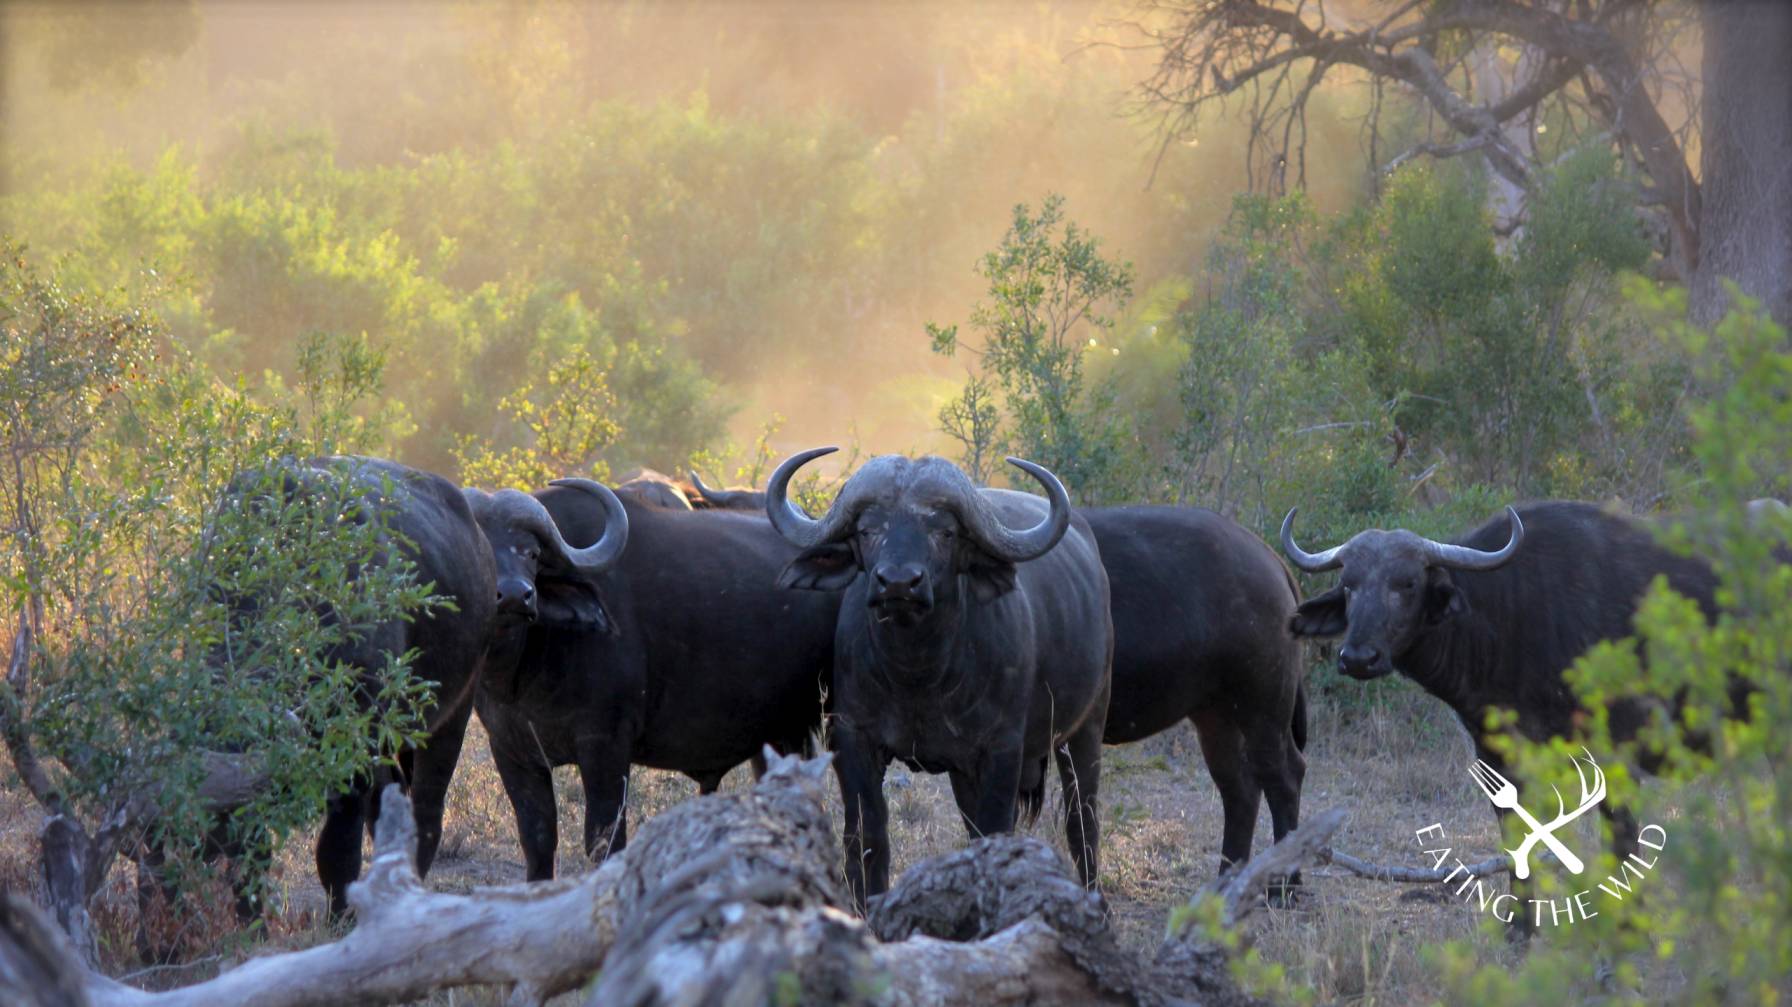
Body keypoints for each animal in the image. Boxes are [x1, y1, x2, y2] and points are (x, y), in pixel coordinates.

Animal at [470, 485, 839, 881]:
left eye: (532, 553)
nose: (515, 595)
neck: (522, 673)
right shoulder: (511, 752)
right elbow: (537, 842)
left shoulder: (605, 746)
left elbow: (603, 840)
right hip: (778, 737)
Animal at [766, 448, 1113, 905]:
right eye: (867, 529)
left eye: (944, 532)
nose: (898, 583)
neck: (919, 675)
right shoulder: (854, 738)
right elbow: (866, 837)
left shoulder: (1002, 749)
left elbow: (995, 831)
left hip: (1086, 727)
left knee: (1082, 823)